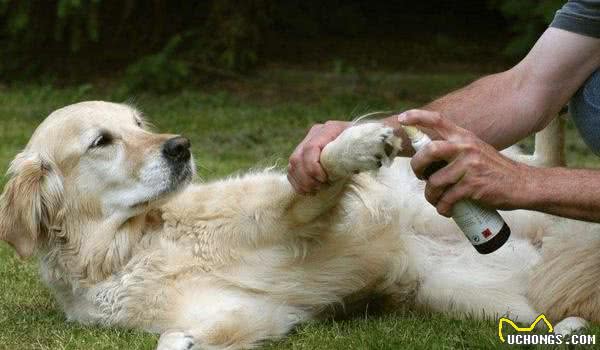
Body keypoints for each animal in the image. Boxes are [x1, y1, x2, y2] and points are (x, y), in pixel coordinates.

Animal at [0, 100, 596, 348]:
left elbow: (316, 174)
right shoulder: (244, 312)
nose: (181, 146)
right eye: (102, 140)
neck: (130, 246)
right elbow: (174, 342)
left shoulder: (291, 218)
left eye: (139, 124)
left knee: (538, 162)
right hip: (485, 295)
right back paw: (566, 328)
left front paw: (357, 141)